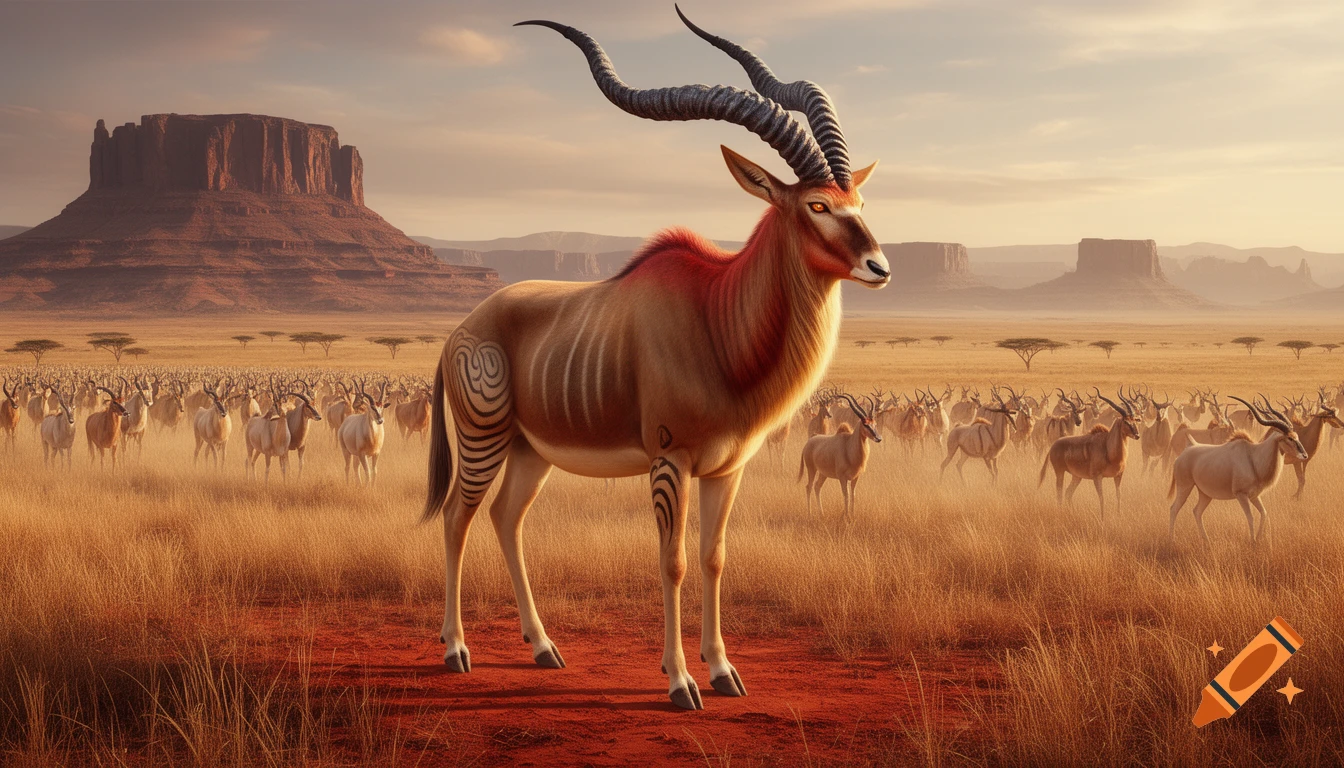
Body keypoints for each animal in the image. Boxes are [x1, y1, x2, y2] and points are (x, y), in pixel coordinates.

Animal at [423, 11, 886, 710]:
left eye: (856, 201)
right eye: (818, 205)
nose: (879, 266)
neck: (718, 320)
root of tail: (461, 330)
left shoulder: (727, 469)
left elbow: (714, 557)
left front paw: (724, 673)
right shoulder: (670, 462)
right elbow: (672, 561)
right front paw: (680, 682)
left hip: (531, 453)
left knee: (507, 519)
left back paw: (544, 649)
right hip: (484, 441)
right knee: (457, 517)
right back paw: (455, 652)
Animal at [1169, 397, 1307, 543]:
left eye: (1296, 436)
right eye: (1289, 438)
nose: (1304, 455)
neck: (1252, 456)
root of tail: (1188, 448)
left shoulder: (1254, 496)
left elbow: (1264, 513)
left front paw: (1258, 539)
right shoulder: (1241, 495)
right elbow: (1251, 517)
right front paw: (1252, 541)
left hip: (1205, 494)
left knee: (1197, 511)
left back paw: (1206, 541)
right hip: (1185, 487)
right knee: (1174, 509)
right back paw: (1171, 540)